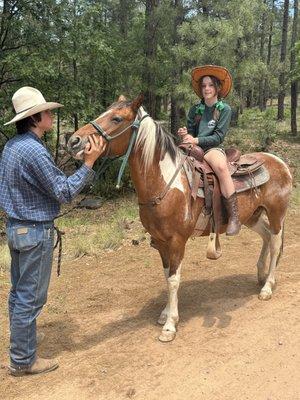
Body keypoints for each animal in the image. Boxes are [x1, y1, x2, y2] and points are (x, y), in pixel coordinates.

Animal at [68, 95, 292, 342]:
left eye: (116, 118)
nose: (74, 141)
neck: (165, 184)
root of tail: (278, 161)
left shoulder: (176, 241)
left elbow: (174, 280)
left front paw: (170, 326)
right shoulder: (160, 242)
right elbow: (167, 275)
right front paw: (165, 314)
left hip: (276, 214)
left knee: (275, 244)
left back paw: (267, 287)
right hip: (252, 216)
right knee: (266, 237)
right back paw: (261, 275)